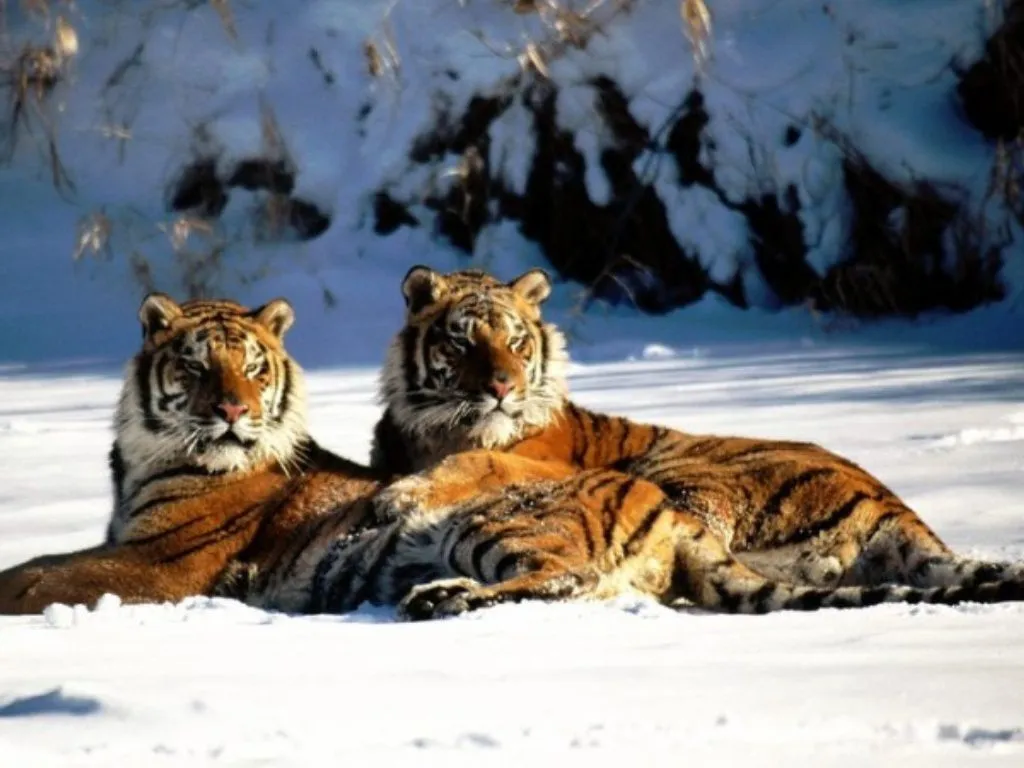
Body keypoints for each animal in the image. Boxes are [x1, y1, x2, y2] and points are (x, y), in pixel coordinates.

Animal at [0, 293, 382, 615]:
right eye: (197, 366)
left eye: (252, 369)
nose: (233, 410)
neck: (141, 460)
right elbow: (38, 564)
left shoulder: (164, 559)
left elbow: (40, 580)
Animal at [362, 265, 1024, 617]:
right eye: (463, 341)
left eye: (516, 341)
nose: (503, 386)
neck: (438, 428)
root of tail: (892, 506)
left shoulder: (530, 465)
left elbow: (478, 463)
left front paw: (401, 497)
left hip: (685, 478)